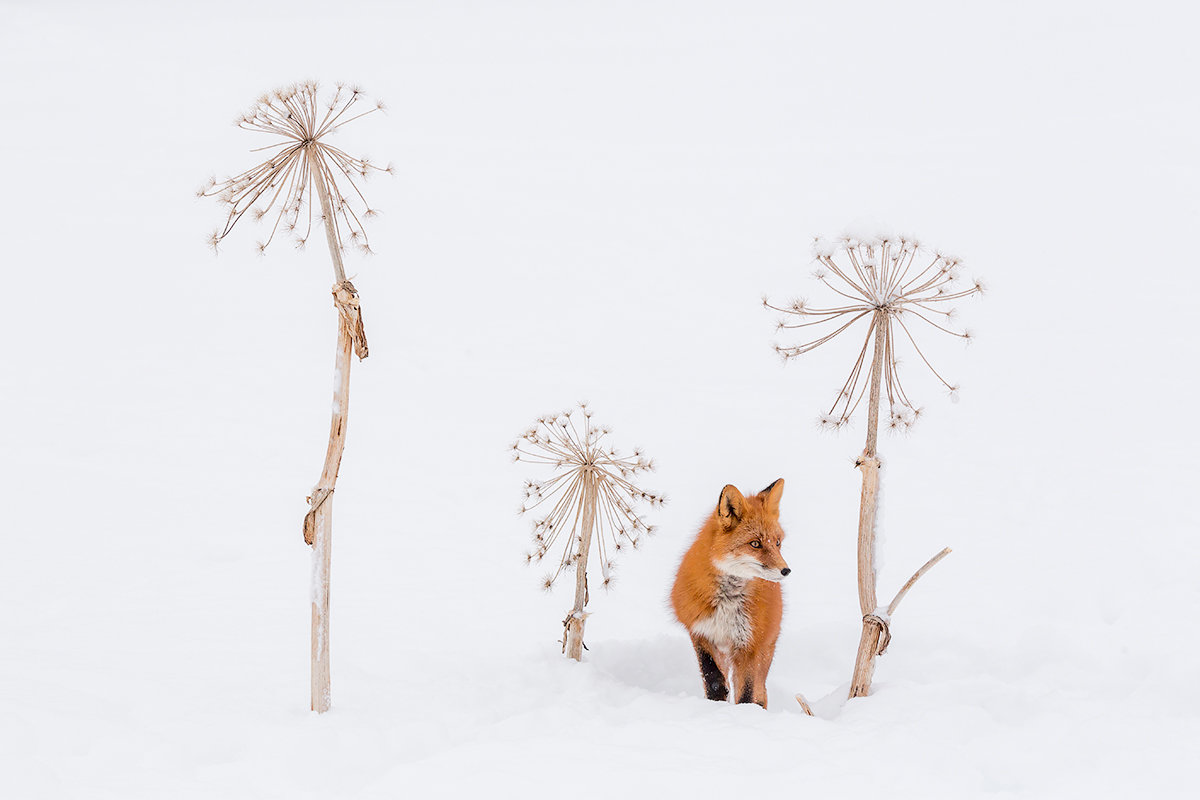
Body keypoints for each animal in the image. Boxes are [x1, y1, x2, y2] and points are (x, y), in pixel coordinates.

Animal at [672, 479, 792, 705]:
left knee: (760, 691)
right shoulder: (701, 632)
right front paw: (717, 700)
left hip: (763, 651)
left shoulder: (749, 645)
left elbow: (746, 692)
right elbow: (712, 678)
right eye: (755, 543)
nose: (786, 570)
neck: (727, 601)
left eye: (777, 543)